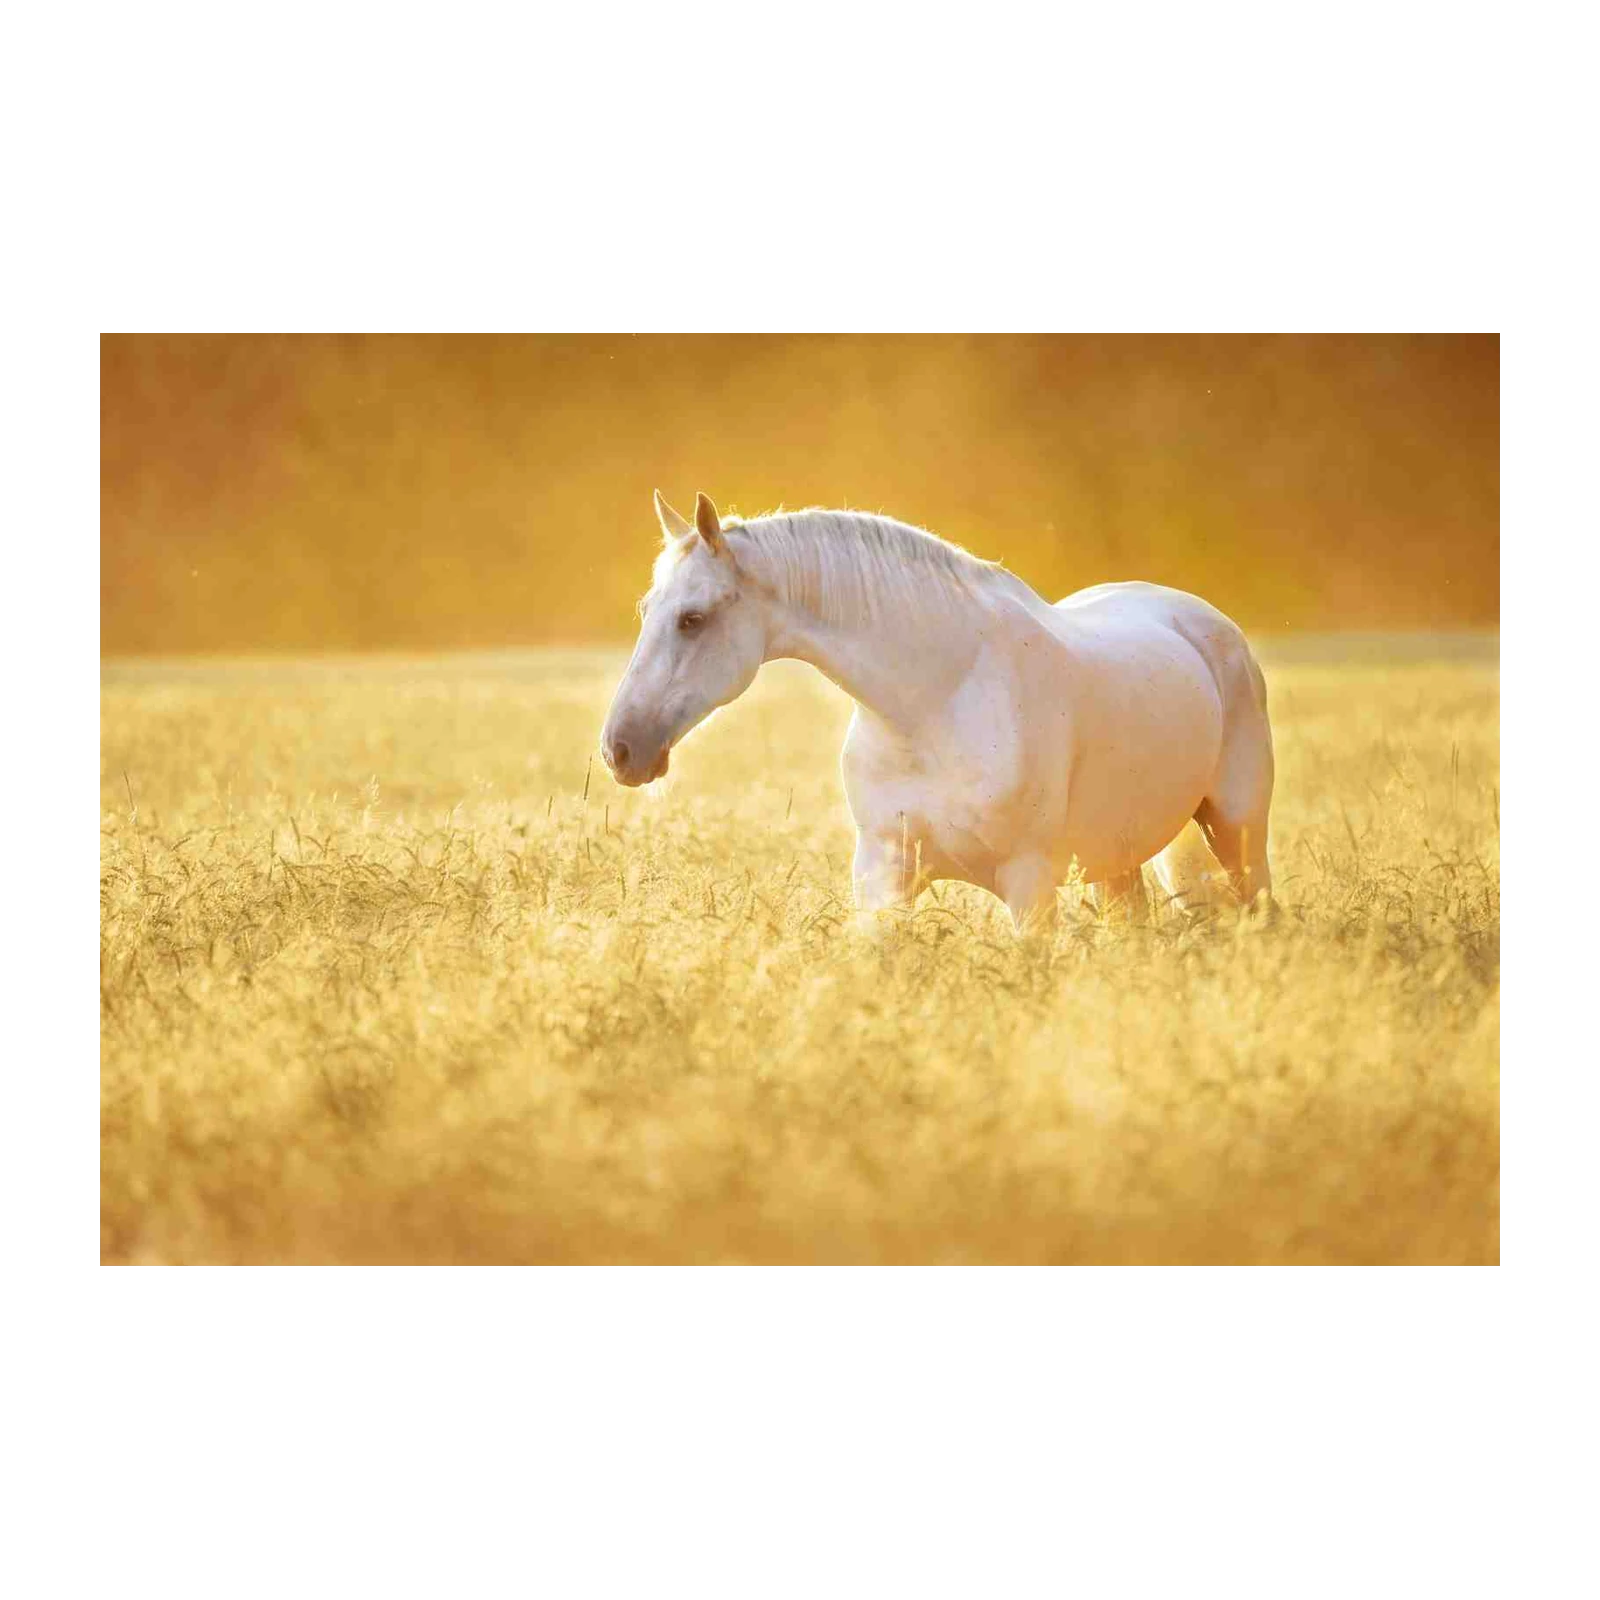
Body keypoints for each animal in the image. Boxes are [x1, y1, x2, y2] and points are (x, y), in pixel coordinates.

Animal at [600, 491, 1275, 933]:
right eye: (646, 609)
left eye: (692, 619)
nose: (620, 749)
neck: (934, 702)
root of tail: (1208, 623)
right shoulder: (883, 876)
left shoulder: (1030, 885)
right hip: (1120, 860)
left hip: (1236, 834)